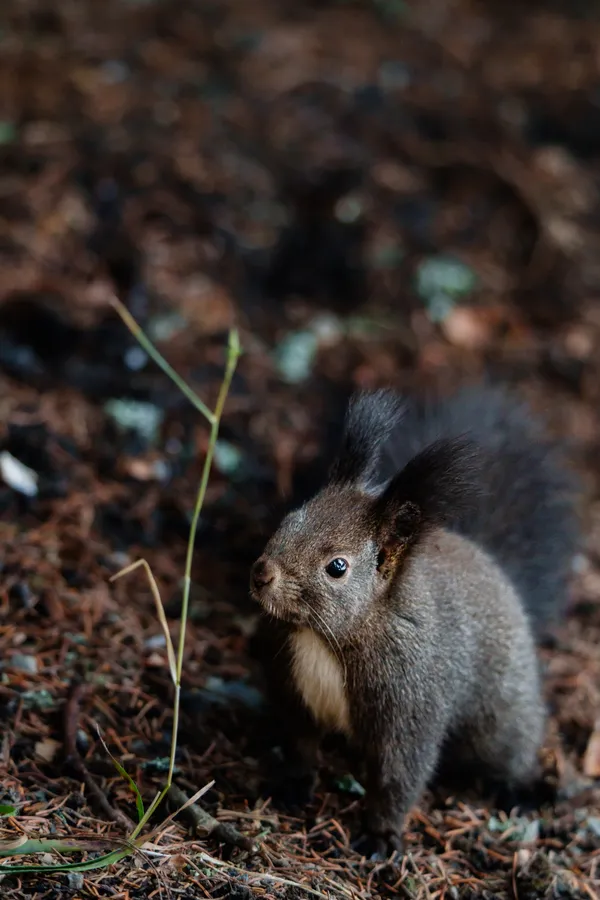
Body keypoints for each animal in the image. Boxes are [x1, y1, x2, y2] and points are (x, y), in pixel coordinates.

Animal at [249, 385, 580, 860]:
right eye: (289, 519)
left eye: (337, 567)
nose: (262, 574)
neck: (326, 637)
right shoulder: (293, 686)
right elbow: (299, 741)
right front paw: (291, 785)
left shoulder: (412, 700)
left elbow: (399, 774)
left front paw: (381, 836)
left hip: (500, 717)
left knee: (511, 750)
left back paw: (525, 790)